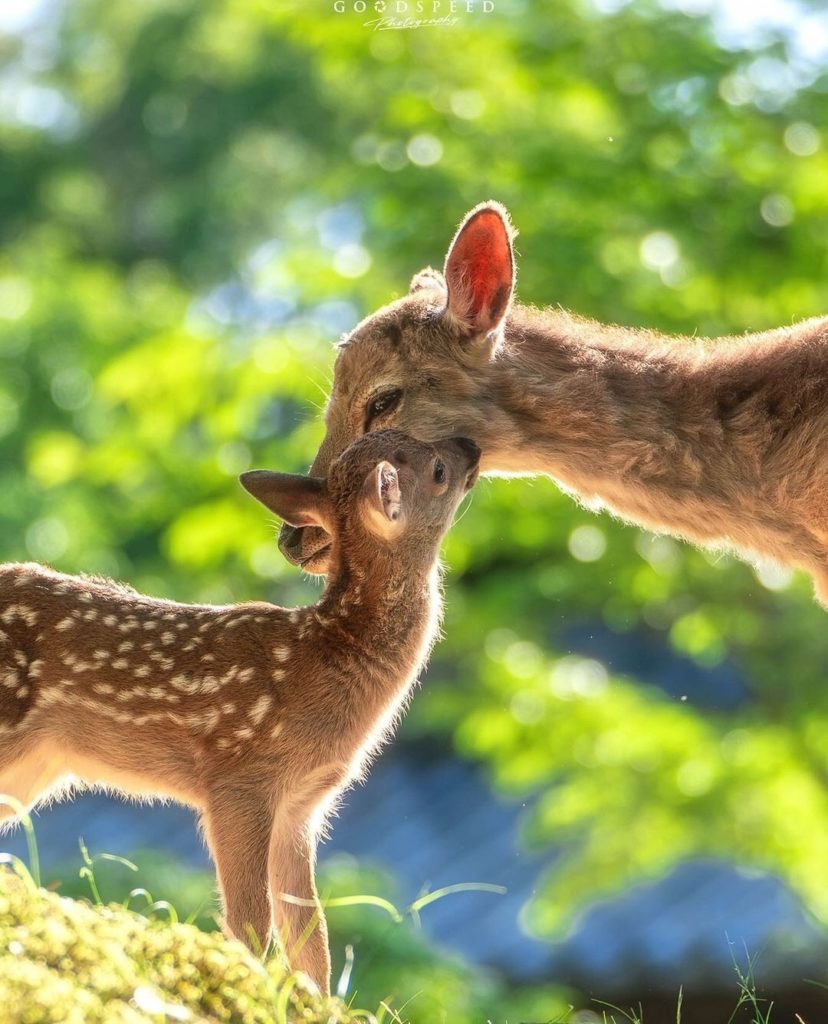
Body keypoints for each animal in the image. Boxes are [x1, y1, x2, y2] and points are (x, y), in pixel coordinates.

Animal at [0, 428, 480, 995]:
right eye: (437, 471)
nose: (470, 446)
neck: (330, 655)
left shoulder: (301, 806)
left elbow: (311, 933)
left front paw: (316, 1001)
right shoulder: (239, 780)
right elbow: (253, 922)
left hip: (35, 768)